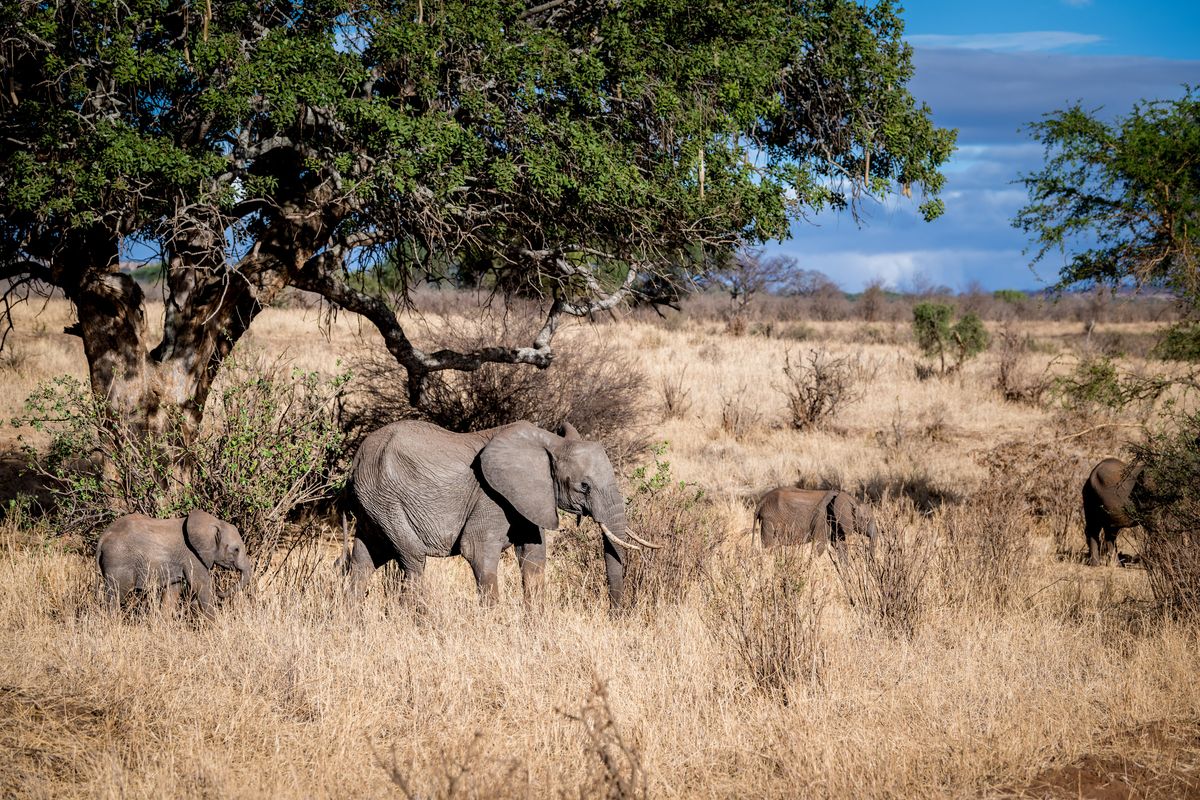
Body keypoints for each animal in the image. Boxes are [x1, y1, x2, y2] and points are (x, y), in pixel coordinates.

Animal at [96, 510, 254, 616]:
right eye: (236, 549)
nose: (219, 592)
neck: (214, 523)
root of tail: (103, 538)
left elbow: (173, 591)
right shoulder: (192, 556)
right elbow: (201, 585)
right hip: (119, 561)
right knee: (116, 594)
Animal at [341, 419, 660, 607]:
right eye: (584, 486)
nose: (616, 615)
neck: (549, 442)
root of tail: (356, 459)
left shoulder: (528, 498)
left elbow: (534, 559)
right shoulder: (490, 497)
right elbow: (477, 552)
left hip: (373, 503)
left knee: (363, 561)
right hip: (386, 499)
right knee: (413, 560)